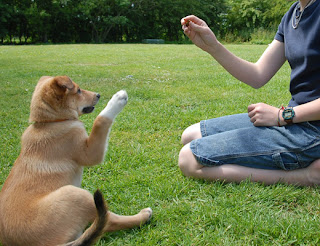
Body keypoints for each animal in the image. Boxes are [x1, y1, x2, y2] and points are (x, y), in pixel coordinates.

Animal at [0, 76, 152, 246]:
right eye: (78, 90)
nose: (98, 95)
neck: (51, 122)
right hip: (75, 194)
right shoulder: (90, 152)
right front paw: (117, 99)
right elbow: (100, 121)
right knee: (109, 220)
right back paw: (143, 215)